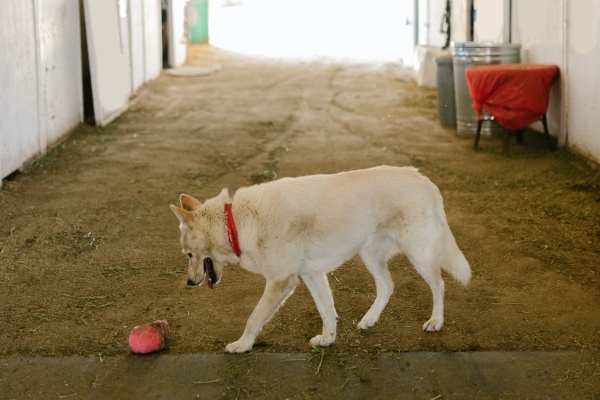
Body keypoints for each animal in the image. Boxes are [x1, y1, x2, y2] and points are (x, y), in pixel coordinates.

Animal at [171, 166, 472, 354]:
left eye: (189, 254)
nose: (189, 282)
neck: (235, 222)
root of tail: (425, 180)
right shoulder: (312, 275)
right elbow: (326, 310)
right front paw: (328, 339)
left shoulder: (281, 281)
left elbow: (254, 317)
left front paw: (242, 345)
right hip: (370, 254)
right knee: (387, 286)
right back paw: (369, 320)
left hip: (418, 252)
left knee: (439, 285)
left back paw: (436, 321)